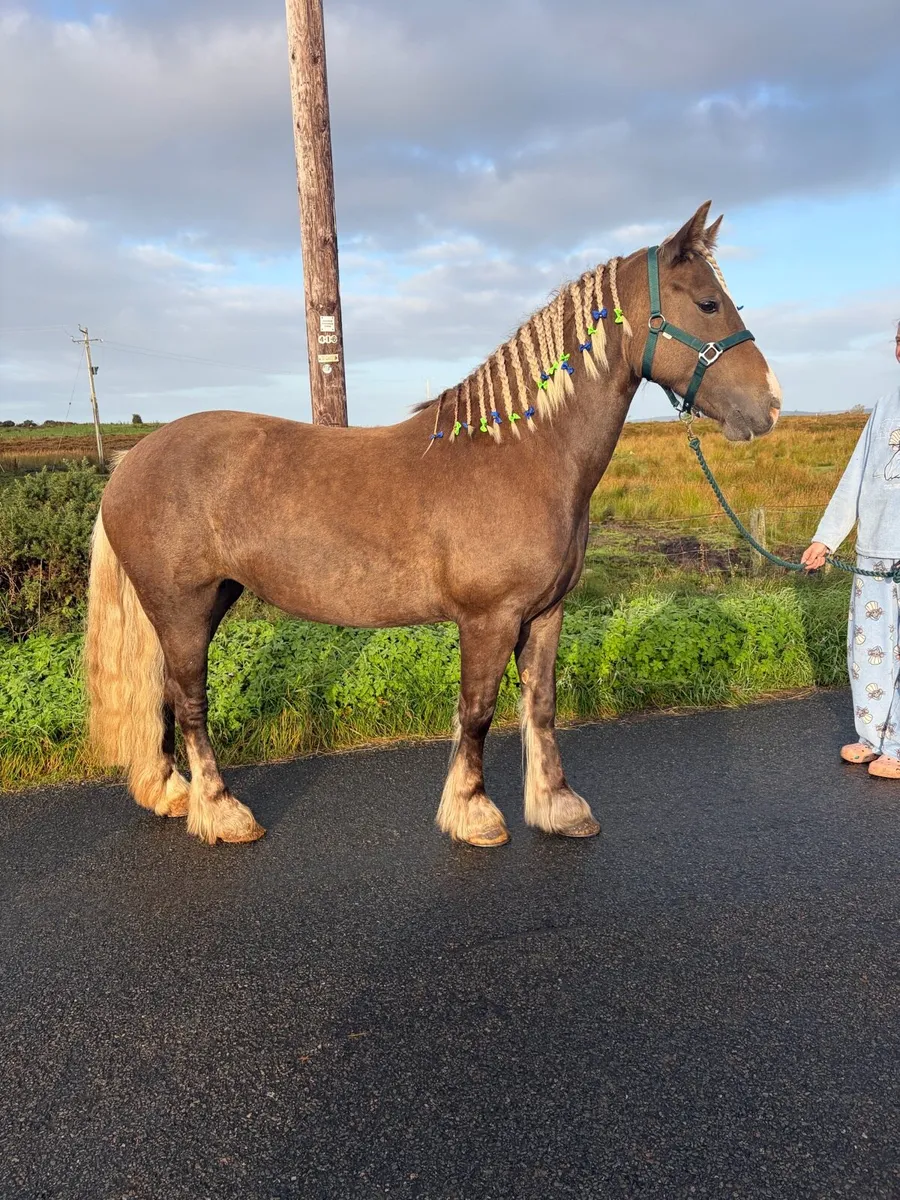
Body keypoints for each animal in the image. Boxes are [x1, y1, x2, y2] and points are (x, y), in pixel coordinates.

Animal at [84, 202, 782, 847]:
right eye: (709, 303)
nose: (770, 405)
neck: (523, 454)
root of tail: (130, 461)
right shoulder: (488, 618)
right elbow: (477, 711)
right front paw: (474, 813)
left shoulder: (545, 613)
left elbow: (541, 705)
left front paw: (558, 806)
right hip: (182, 606)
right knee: (190, 700)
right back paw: (222, 812)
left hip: (201, 604)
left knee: (166, 695)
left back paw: (172, 793)